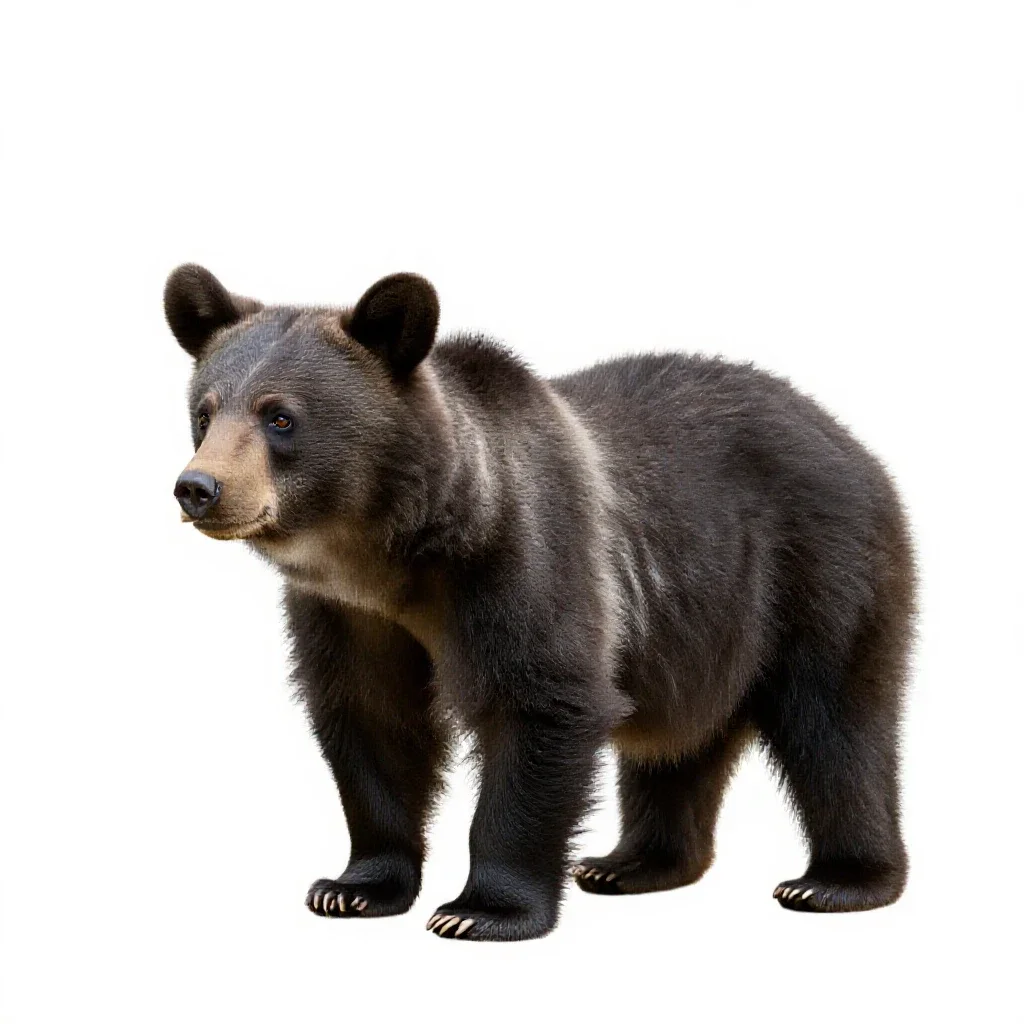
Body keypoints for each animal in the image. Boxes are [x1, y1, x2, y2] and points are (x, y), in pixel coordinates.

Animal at [165, 264, 916, 941]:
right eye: (204, 411)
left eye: (280, 417)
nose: (198, 487)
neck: (398, 553)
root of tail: (850, 438)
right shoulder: (349, 614)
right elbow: (372, 720)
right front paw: (352, 887)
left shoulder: (524, 559)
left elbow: (539, 703)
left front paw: (481, 910)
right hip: (699, 624)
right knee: (677, 743)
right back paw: (632, 864)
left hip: (817, 565)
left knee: (835, 719)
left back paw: (836, 881)